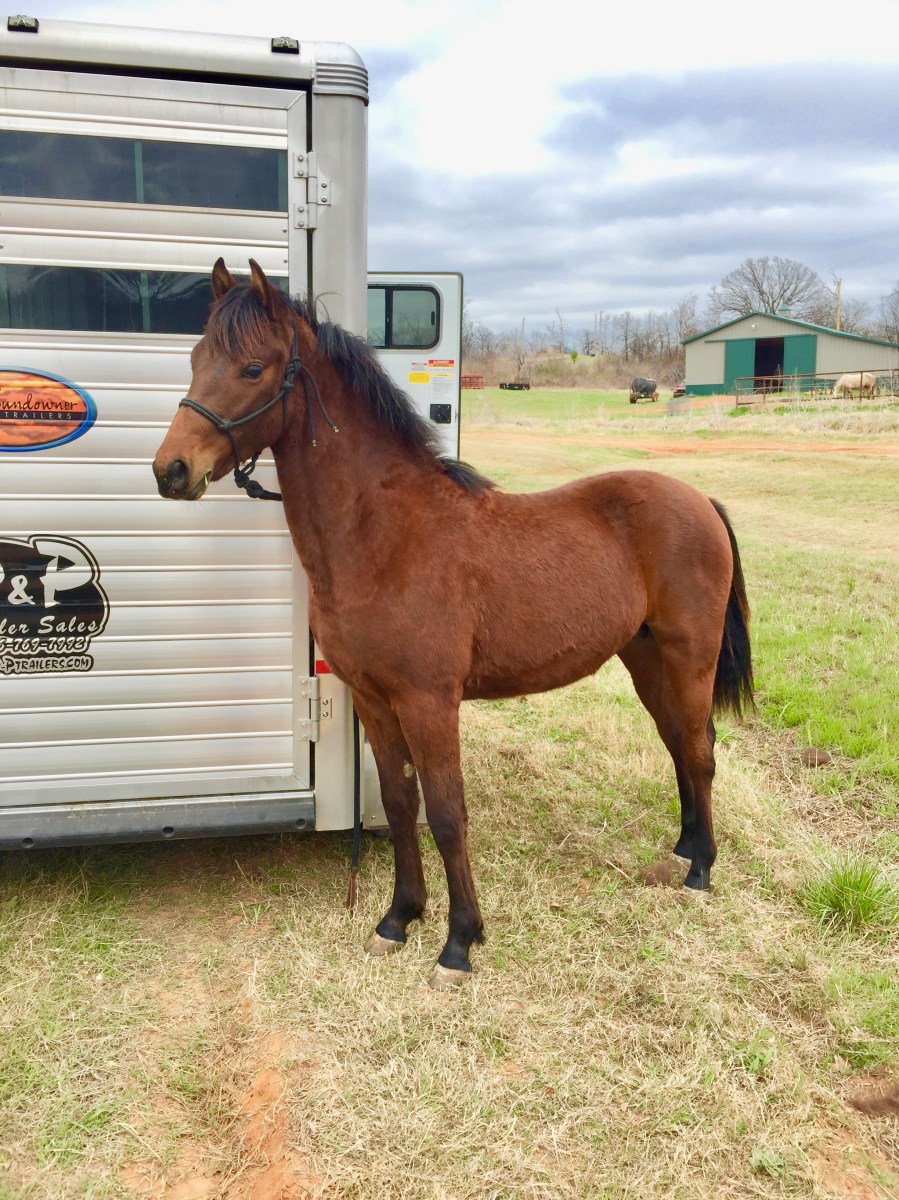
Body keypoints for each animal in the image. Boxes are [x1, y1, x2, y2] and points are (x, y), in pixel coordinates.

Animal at [153, 260, 754, 990]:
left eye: (251, 367)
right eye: (195, 358)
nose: (170, 469)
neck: (383, 536)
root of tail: (699, 500)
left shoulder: (429, 702)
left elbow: (446, 813)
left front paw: (459, 942)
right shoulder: (373, 701)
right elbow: (399, 804)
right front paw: (396, 919)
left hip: (689, 655)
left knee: (699, 749)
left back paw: (701, 870)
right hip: (645, 659)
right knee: (678, 745)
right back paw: (683, 849)